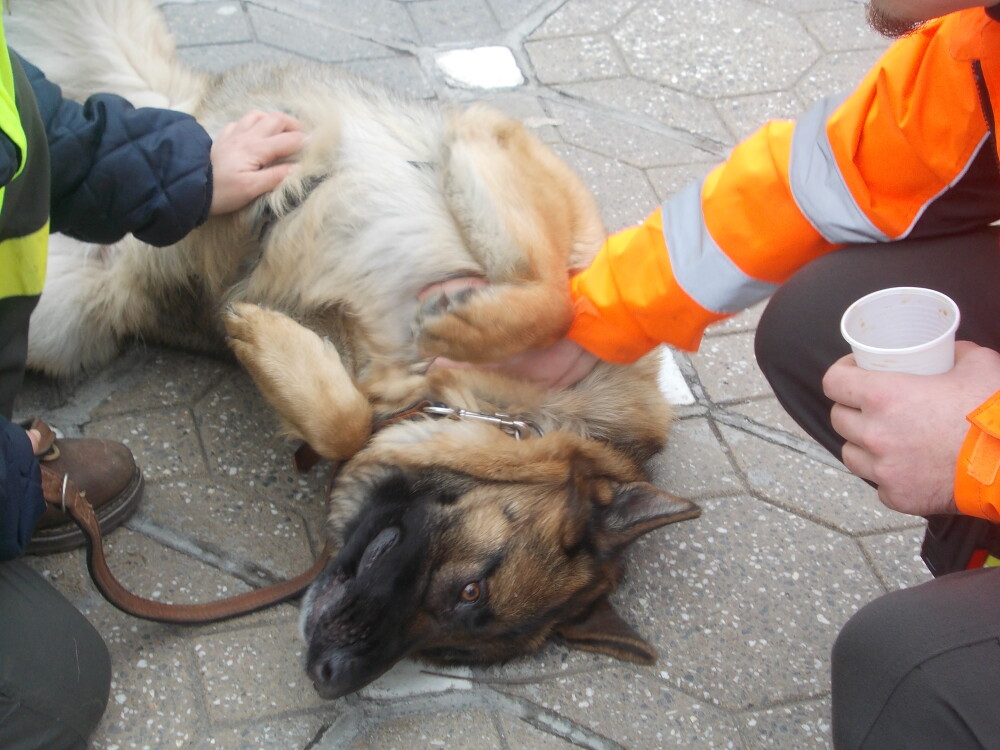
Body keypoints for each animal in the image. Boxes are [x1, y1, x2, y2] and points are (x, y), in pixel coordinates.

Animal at [13, 1, 704, 704]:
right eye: (471, 589)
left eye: (452, 649)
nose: (330, 679)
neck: (500, 414)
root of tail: (186, 100)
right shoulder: (493, 146)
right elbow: (555, 301)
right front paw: (456, 324)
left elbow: (344, 422)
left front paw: (271, 345)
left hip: (62, 314)